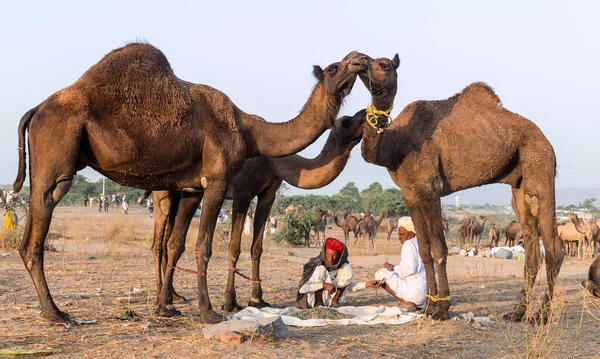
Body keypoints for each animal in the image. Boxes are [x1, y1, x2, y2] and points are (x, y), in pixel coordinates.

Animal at [152, 112, 364, 312]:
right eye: (346, 121)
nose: (364, 113)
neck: (274, 161)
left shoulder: (268, 194)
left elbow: (256, 248)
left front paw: (257, 299)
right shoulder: (242, 193)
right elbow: (234, 247)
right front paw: (230, 302)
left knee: (168, 238)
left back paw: (174, 296)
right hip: (163, 192)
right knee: (159, 242)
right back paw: (160, 298)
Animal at [354, 53, 560, 324]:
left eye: (383, 64)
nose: (357, 61)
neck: (395, 144)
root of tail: (547, 141)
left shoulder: (429, 188)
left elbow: (439, 248)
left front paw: (441, 309)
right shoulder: (410, 192)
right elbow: (424, 250)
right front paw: (429, 307)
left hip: (540, 168)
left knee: (554, 249)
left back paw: (541, 316)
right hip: (519, 188)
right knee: (533, 250)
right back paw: (516, 313)